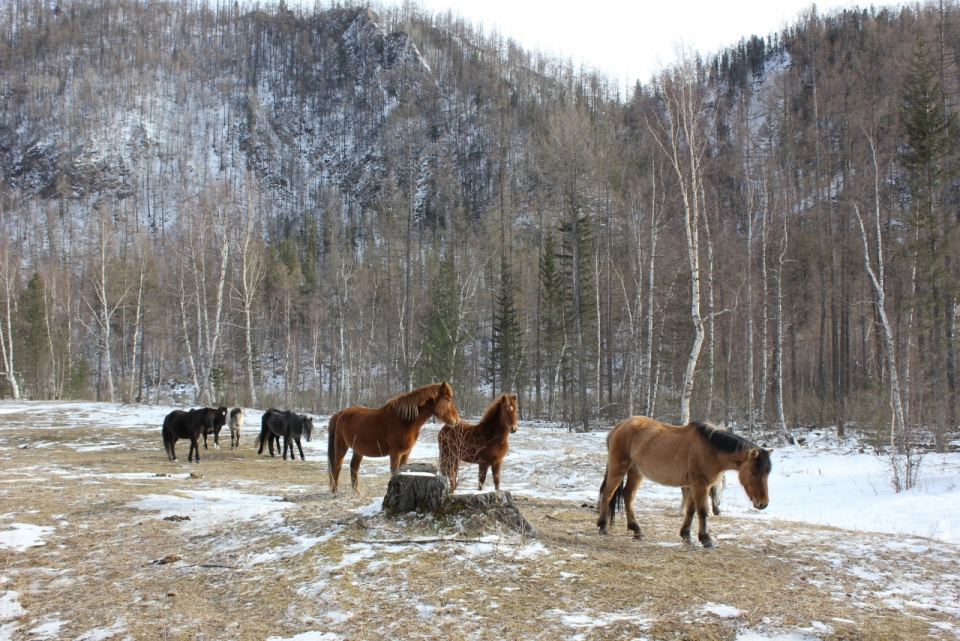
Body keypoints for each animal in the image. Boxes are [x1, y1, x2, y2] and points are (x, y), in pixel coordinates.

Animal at [326, 382, 462, 492]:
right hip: (341, 447)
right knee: (336, 467)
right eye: (448, 400)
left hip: (358, 450)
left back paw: (357, 492)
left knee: (353, 468)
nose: (456, 420)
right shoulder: (395, 453)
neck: (404, 420)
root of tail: (341, 413)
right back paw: (335, 491)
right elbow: (393, 471)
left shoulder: (406, 453)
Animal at [592, 418, 772, 548]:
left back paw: (636, 529)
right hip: (619, 468)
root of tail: (618, 427)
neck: (710, 450)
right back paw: (602, 527)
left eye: (767, 472)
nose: (763, 504)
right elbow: (702, 511)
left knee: (628, 495)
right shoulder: (701, 484)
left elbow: (690, 510)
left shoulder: (693, 485)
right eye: (753, 472)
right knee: (608, 493)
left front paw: (686, 535)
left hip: (636, 471)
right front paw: (706, 539)